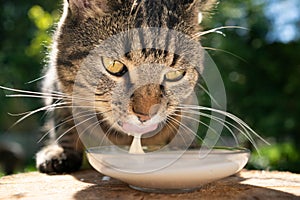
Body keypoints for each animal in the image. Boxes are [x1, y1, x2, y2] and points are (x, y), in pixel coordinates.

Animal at [36, 0, 217, 173]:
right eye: (114, 65)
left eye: (174, 74)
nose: (145, 116)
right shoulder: (57, 89)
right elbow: (64, 120)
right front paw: (61, 151)